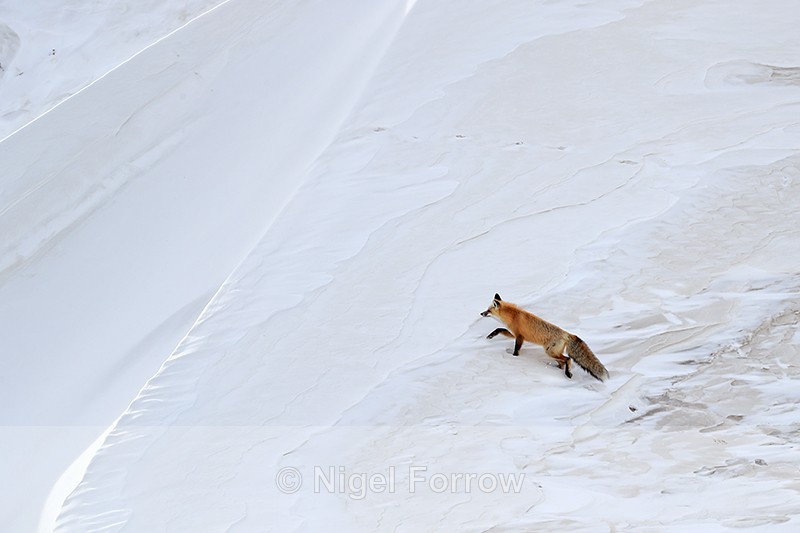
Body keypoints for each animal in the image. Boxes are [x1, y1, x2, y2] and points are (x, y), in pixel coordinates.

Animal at [480, 293, 609, 381]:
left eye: (488, 310)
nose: (481, 313)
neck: (512, 316)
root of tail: (566, 334)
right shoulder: (514, 334)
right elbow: (499, 329)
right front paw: (491, 335)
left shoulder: (520, 337)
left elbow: (516, 349)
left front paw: (514, 358)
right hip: (553, 353)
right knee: (562, 363)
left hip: (550, 352)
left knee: (568, 359)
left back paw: (567, 373)